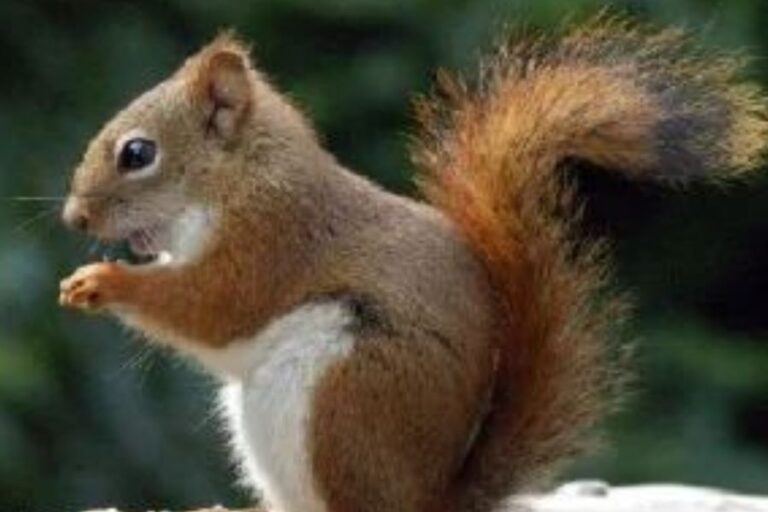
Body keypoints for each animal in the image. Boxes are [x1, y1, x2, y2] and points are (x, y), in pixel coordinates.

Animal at [58, 15, 768, 512]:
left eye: (138, 154)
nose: (74, 219)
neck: (238, 178)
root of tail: (432, 497)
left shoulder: (272, 241)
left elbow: (208, 306)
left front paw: (101, 281)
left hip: (343, 398)